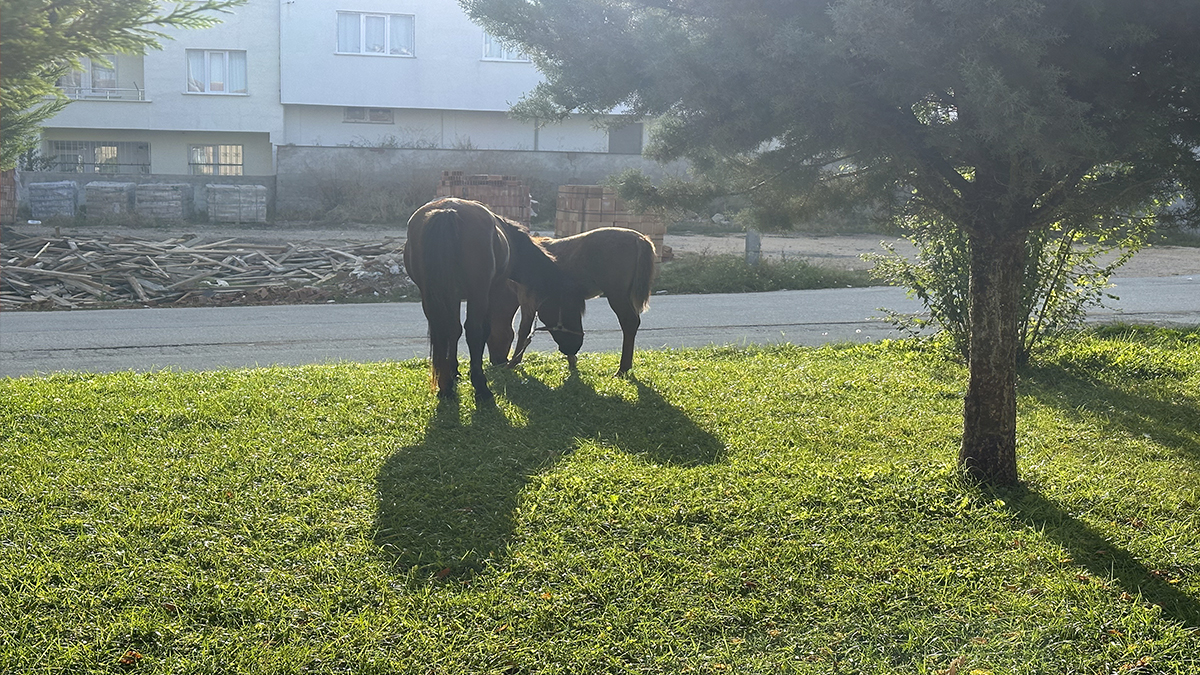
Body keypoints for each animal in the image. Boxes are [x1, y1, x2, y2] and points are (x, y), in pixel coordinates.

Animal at [403, 196, 566, 401]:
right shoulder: (492, 293)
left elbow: (453, 331)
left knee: (445, 329)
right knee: (474, 331)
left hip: (431, 297)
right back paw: (481, 387)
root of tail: (447, 211)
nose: (501, 361)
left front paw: (453, 371)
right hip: (478, 294)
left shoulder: (452, 296)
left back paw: (445, 386)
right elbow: (483, 330)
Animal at [504, 224, 657, 372]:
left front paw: (514, 361)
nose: (573, 347)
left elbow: (523, 329)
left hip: (616, 295)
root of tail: (639, 238)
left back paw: (623, 369)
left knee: (629, 322)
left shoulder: (526, 299)